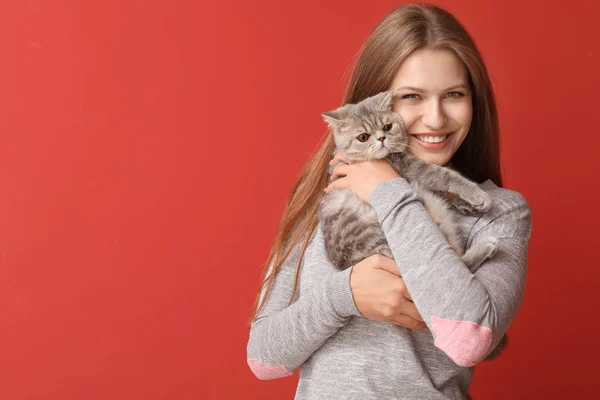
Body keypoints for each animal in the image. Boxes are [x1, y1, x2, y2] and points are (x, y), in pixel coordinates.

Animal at [318, 89, 506, 360]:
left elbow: (446, 186)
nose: (382, 138)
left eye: (387, 126)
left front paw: (470, 203)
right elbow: (445, 175)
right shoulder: (411, 166)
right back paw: (486, 246)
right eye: (363, 137)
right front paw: (477, 194)